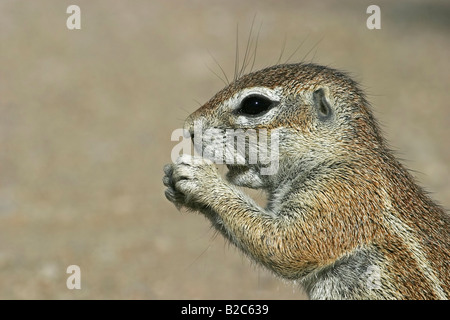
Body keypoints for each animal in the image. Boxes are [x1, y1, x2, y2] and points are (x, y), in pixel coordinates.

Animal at [163, 63, 448, 300]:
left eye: (254, 104)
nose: (189, 126)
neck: (334, 155)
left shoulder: (341, 194)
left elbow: (287, 245)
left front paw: (201, 178)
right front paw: (172, 181)